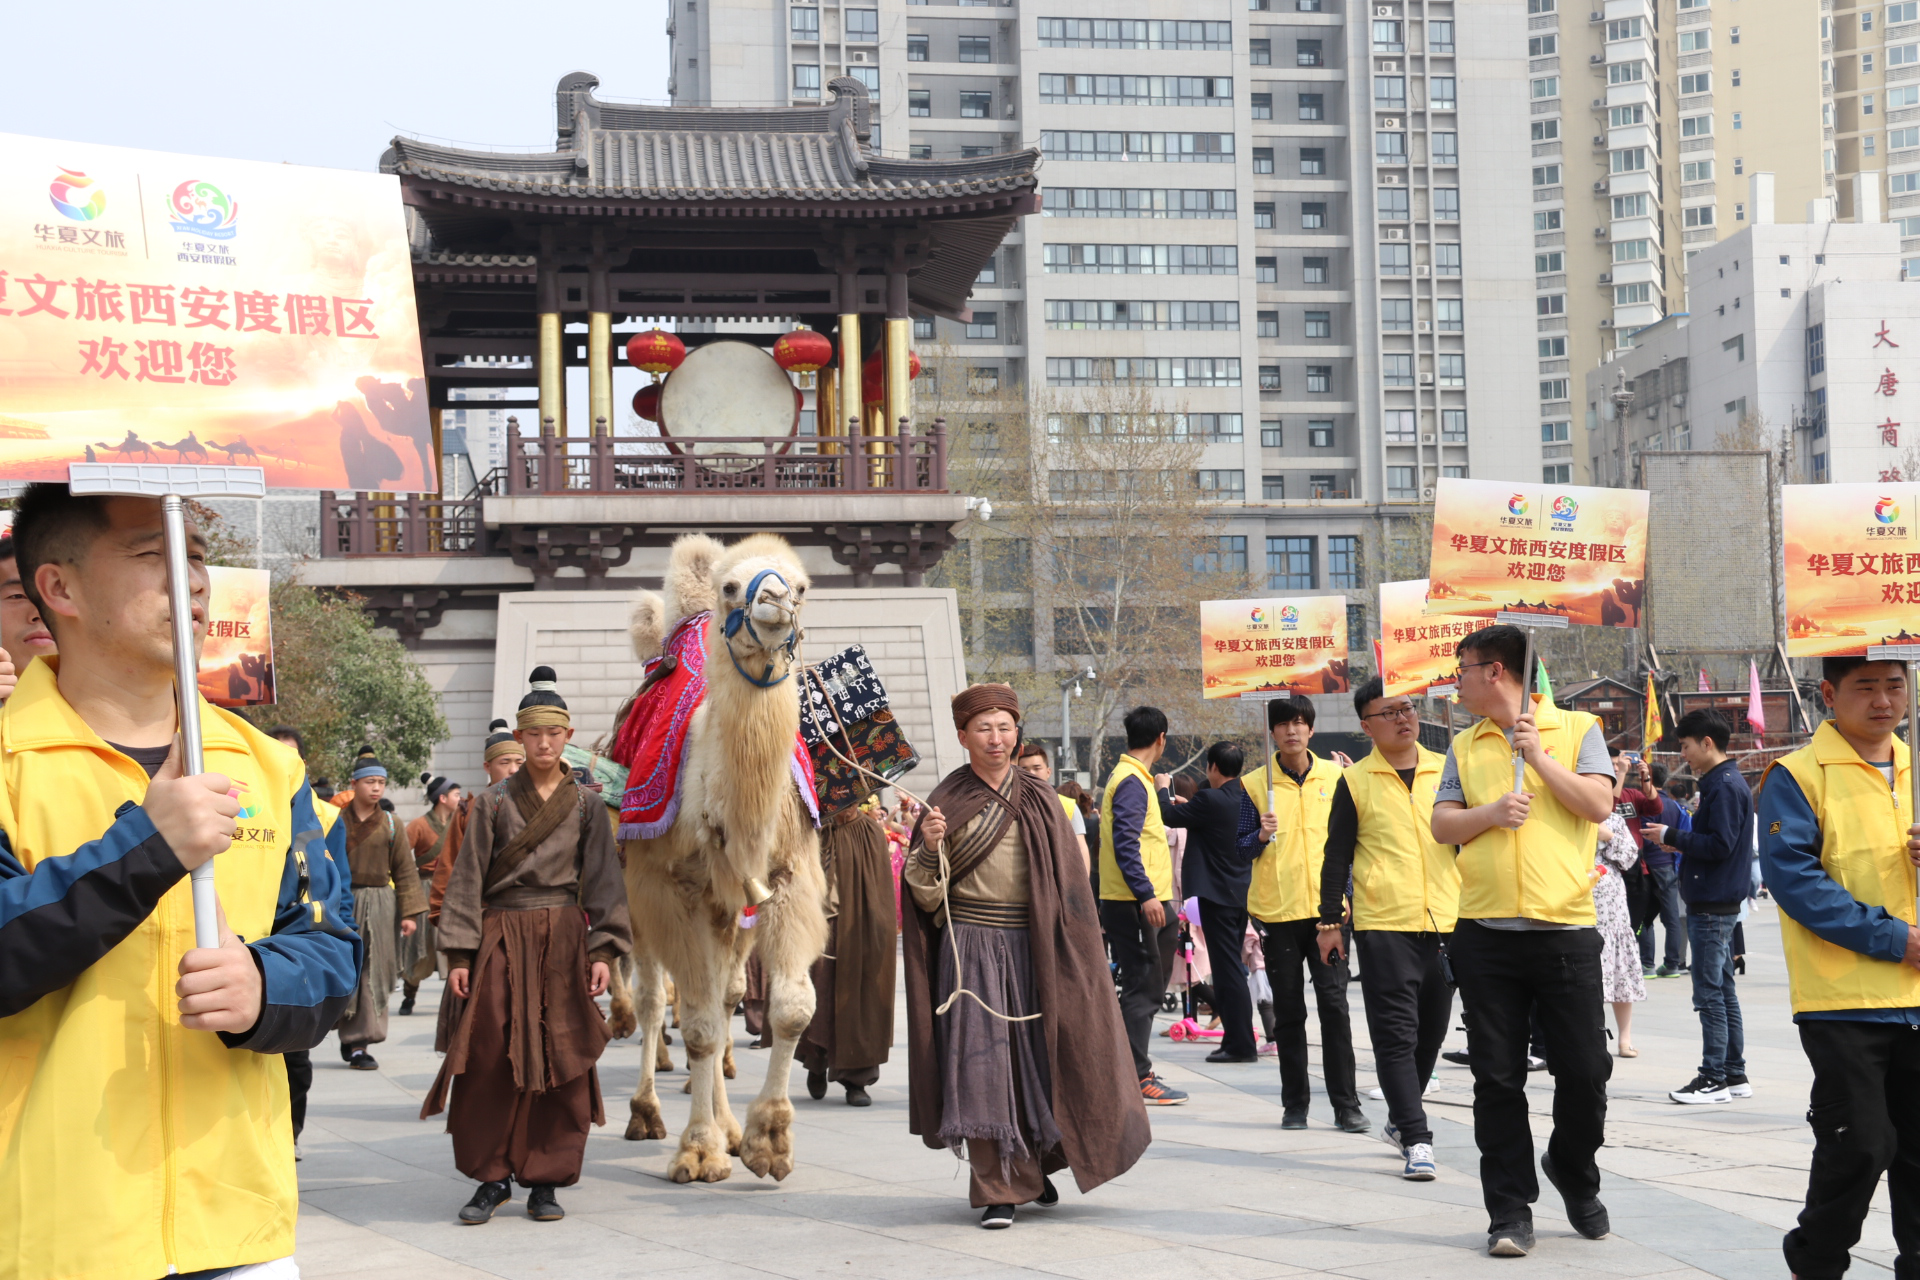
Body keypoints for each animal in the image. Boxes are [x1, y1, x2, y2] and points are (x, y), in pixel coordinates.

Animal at [614, 529, 825, 1182]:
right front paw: (698, 1150)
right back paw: (647, 1114)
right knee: (656, 1001)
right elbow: (699, 1023)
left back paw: (729, 1126)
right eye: (731, 586)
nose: (774, 602)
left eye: (801, 585)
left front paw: (767, 1141)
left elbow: (790, 1008)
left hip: (730, 913)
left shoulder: (787, 878)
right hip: (636, 897)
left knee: (726, 992)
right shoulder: (665, 889)